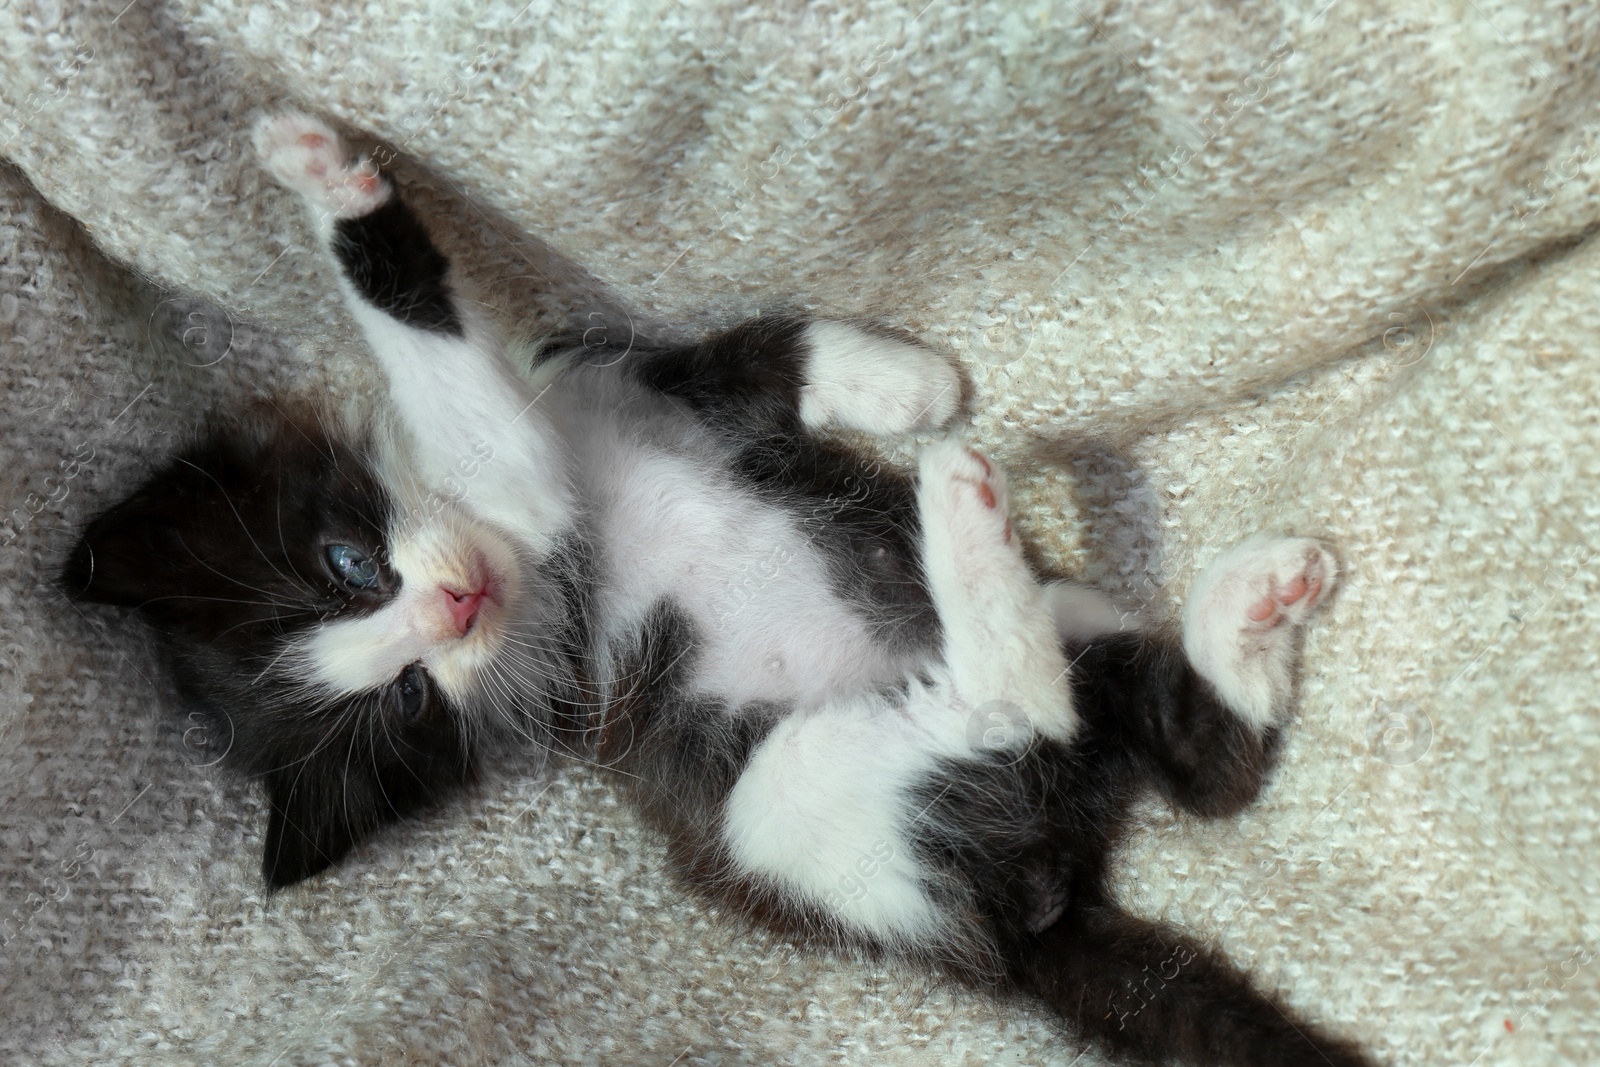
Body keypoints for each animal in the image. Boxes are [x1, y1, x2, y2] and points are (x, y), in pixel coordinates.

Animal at [62, 116, 1376, 1067]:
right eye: (410, 699)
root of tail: (1036, 917)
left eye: (346, 564)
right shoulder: (536, 504)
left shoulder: (634, 379)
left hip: (1074, 635)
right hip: (795, 810)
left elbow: (758, 352)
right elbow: (445, 352)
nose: (452, 611)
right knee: (1020, 707)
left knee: (1199, 761)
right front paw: (332, 185)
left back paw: (1243, 609)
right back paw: (966, 529)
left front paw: (901, 378)